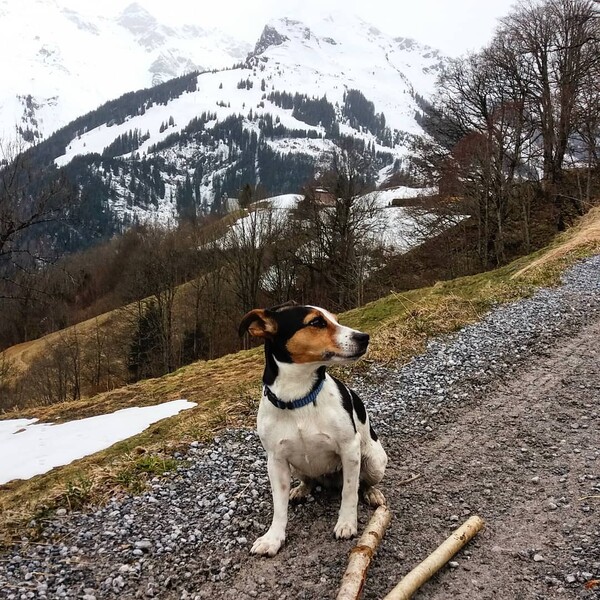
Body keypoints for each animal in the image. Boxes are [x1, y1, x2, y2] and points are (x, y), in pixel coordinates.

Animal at [239, 302, 390, 556]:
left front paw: (346, 522)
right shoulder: (275, 461)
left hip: (374, 461)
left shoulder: (349, 450)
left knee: (363, 483)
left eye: (336, 319)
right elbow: (279, 506)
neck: (298, 398)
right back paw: (301, 489)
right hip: (297, 467)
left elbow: (349, 491)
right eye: (316, 322)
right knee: (309, 480)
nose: (364, 337)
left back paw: (372, 493)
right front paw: (273, 537)